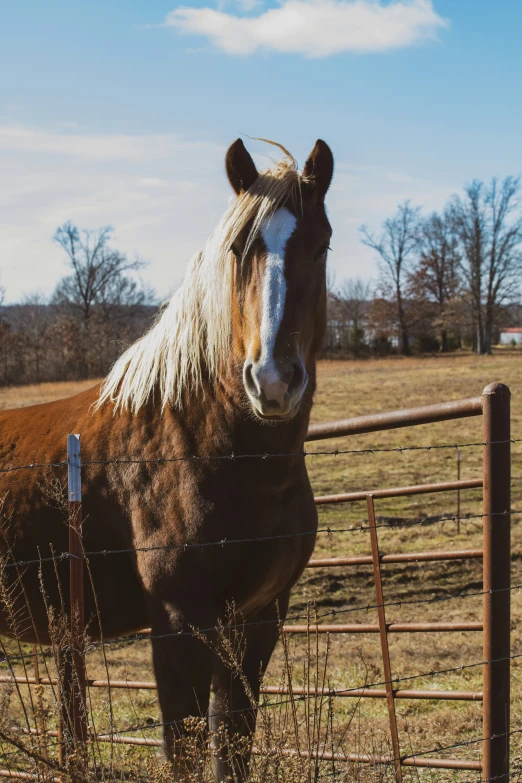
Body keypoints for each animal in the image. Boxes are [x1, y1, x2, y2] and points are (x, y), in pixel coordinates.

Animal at [0, 138, 334, 780]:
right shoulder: (179, 623)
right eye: (238, 248)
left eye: (322, 243)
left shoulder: (258, 619)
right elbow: (185, 749)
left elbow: (233, 745)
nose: (273, 382)